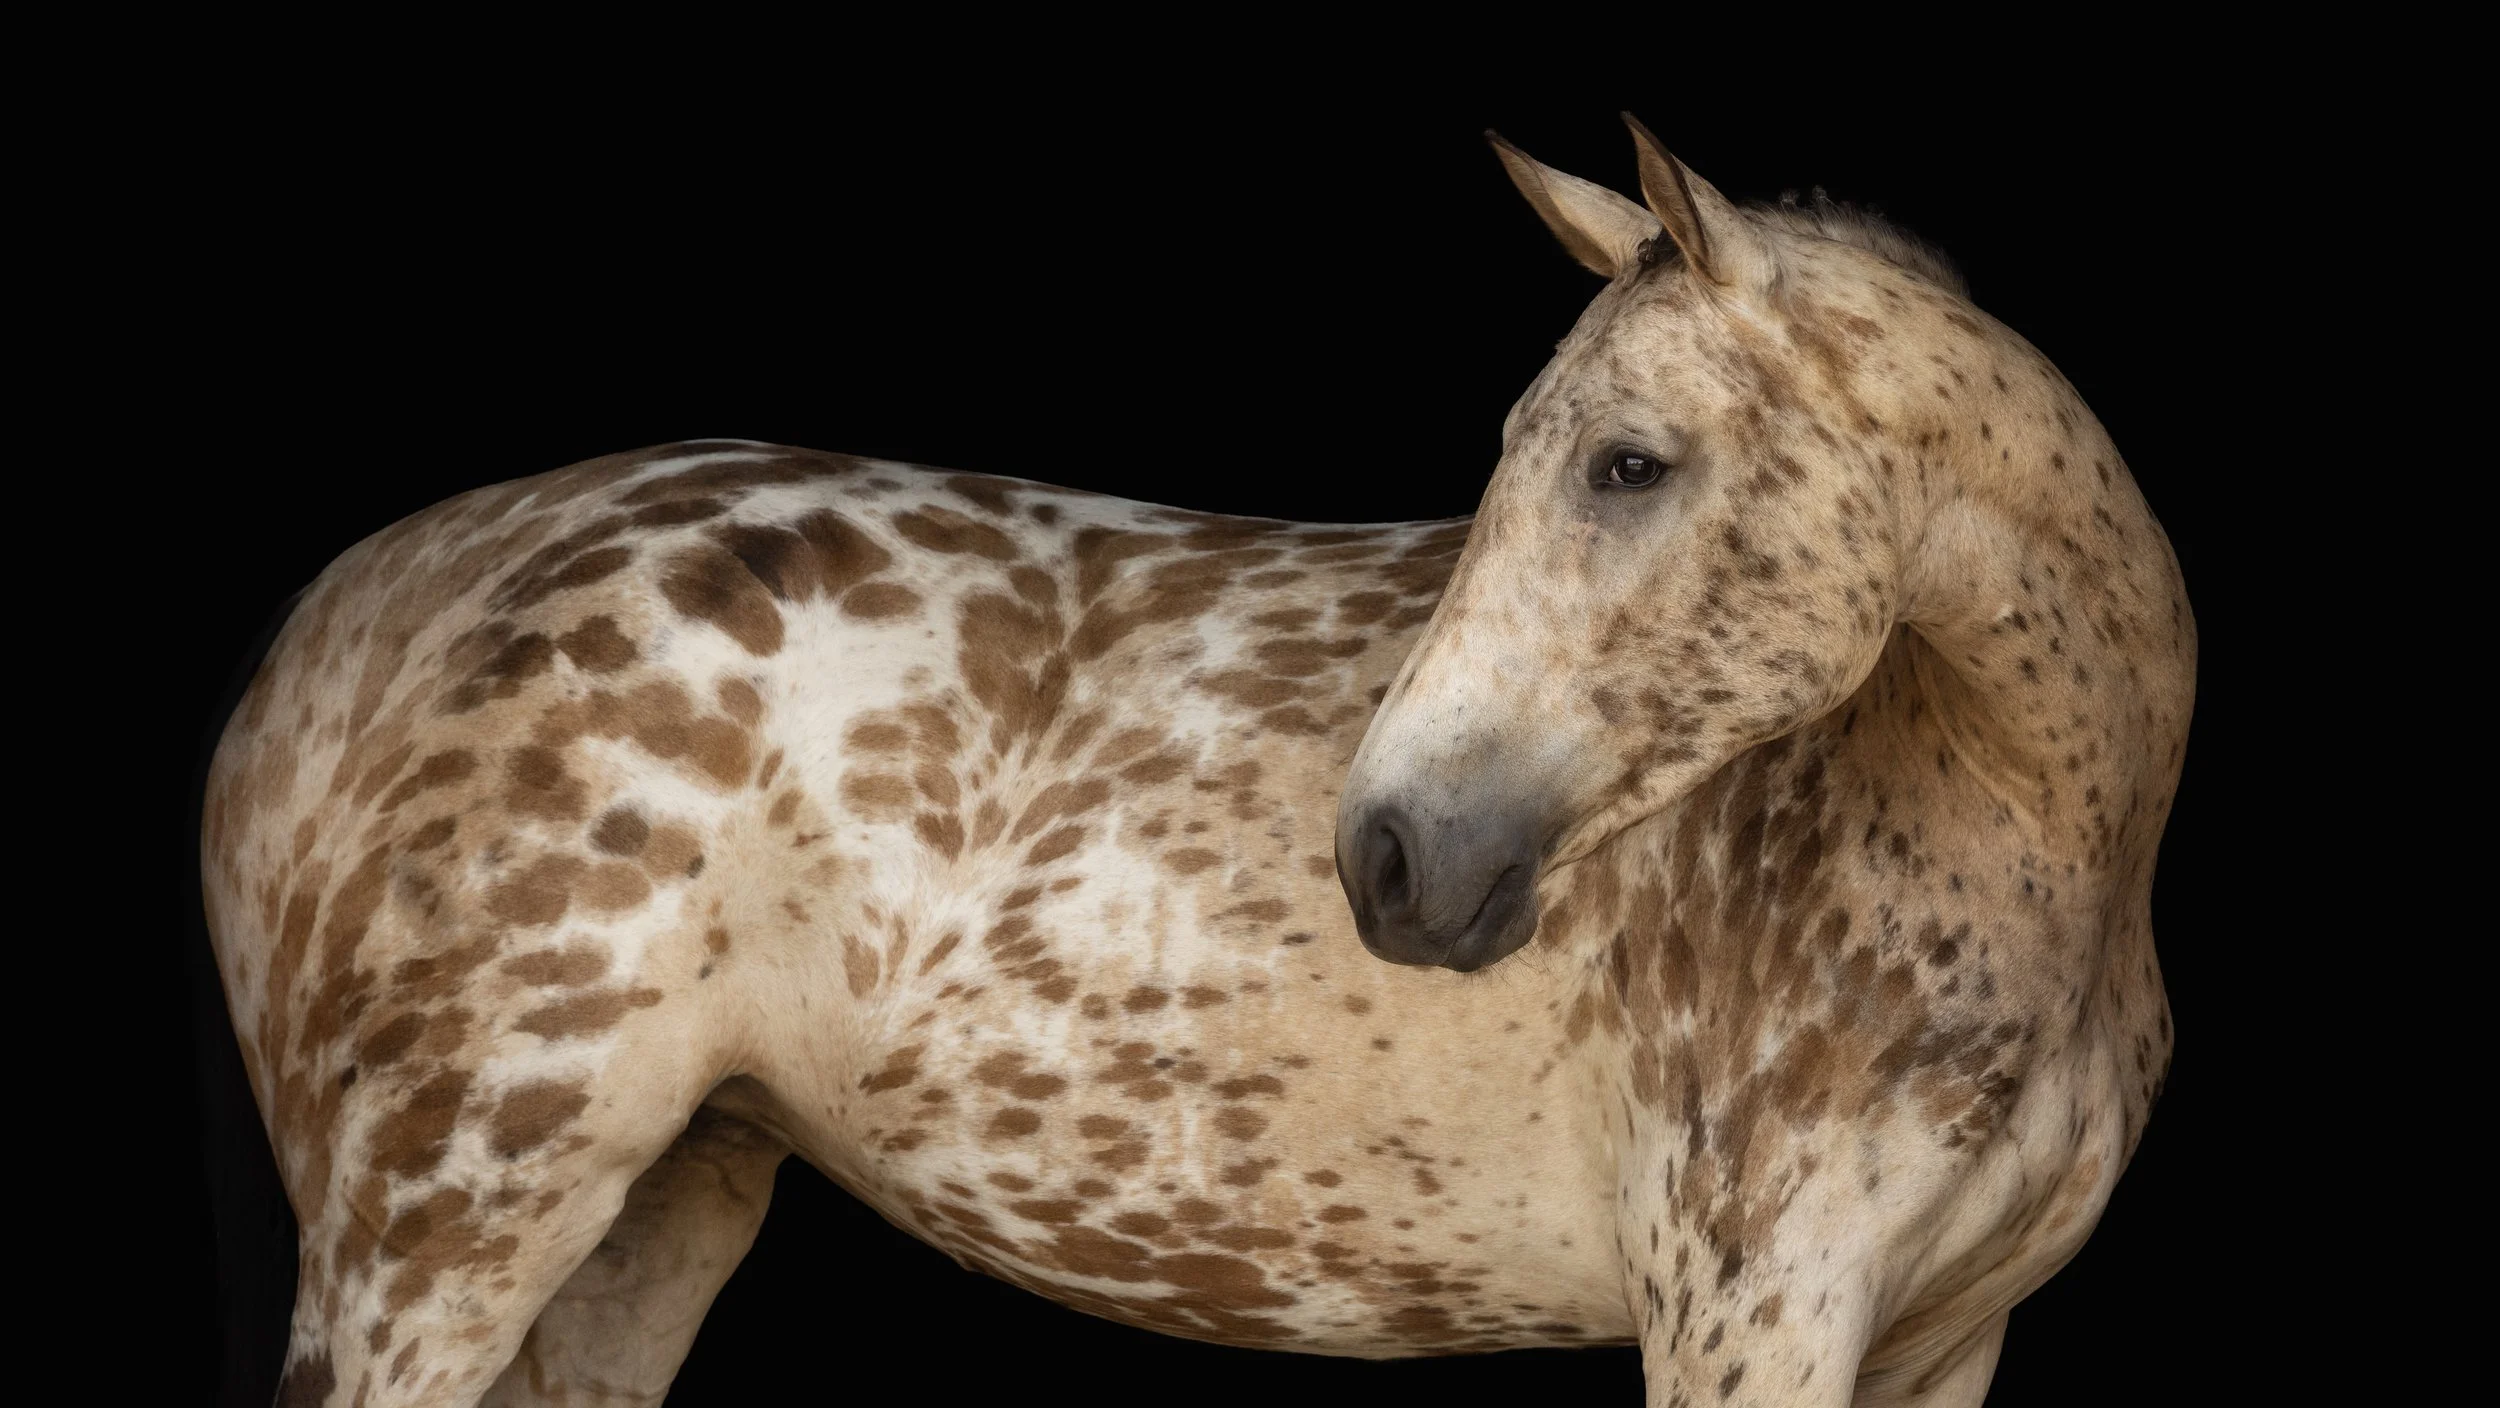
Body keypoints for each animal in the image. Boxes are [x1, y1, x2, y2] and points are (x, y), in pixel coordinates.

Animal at [201, 117, 2191, 1407]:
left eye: (1630, 461)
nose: (1390, 854)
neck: (2017, 859)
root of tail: (367, 609)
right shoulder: (1750, 1325)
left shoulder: (1939, 1350)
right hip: (439, 1236)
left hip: (648, 1215)